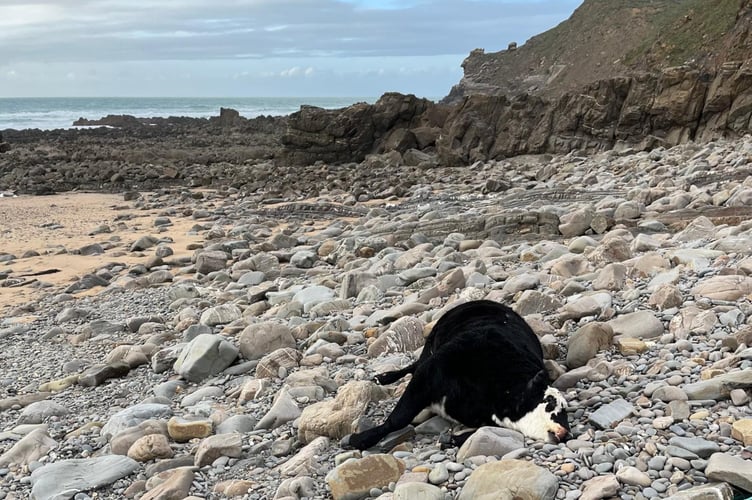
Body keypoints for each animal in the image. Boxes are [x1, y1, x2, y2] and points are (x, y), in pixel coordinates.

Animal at [344, 300, 570, 450]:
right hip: (429, 347)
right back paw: (384, 377)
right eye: (550, 403)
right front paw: (361, 439)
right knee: (414, 365)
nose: (566, 434)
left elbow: (479, 431)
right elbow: (399, 418)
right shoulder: (428, 374)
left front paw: (452, 439)